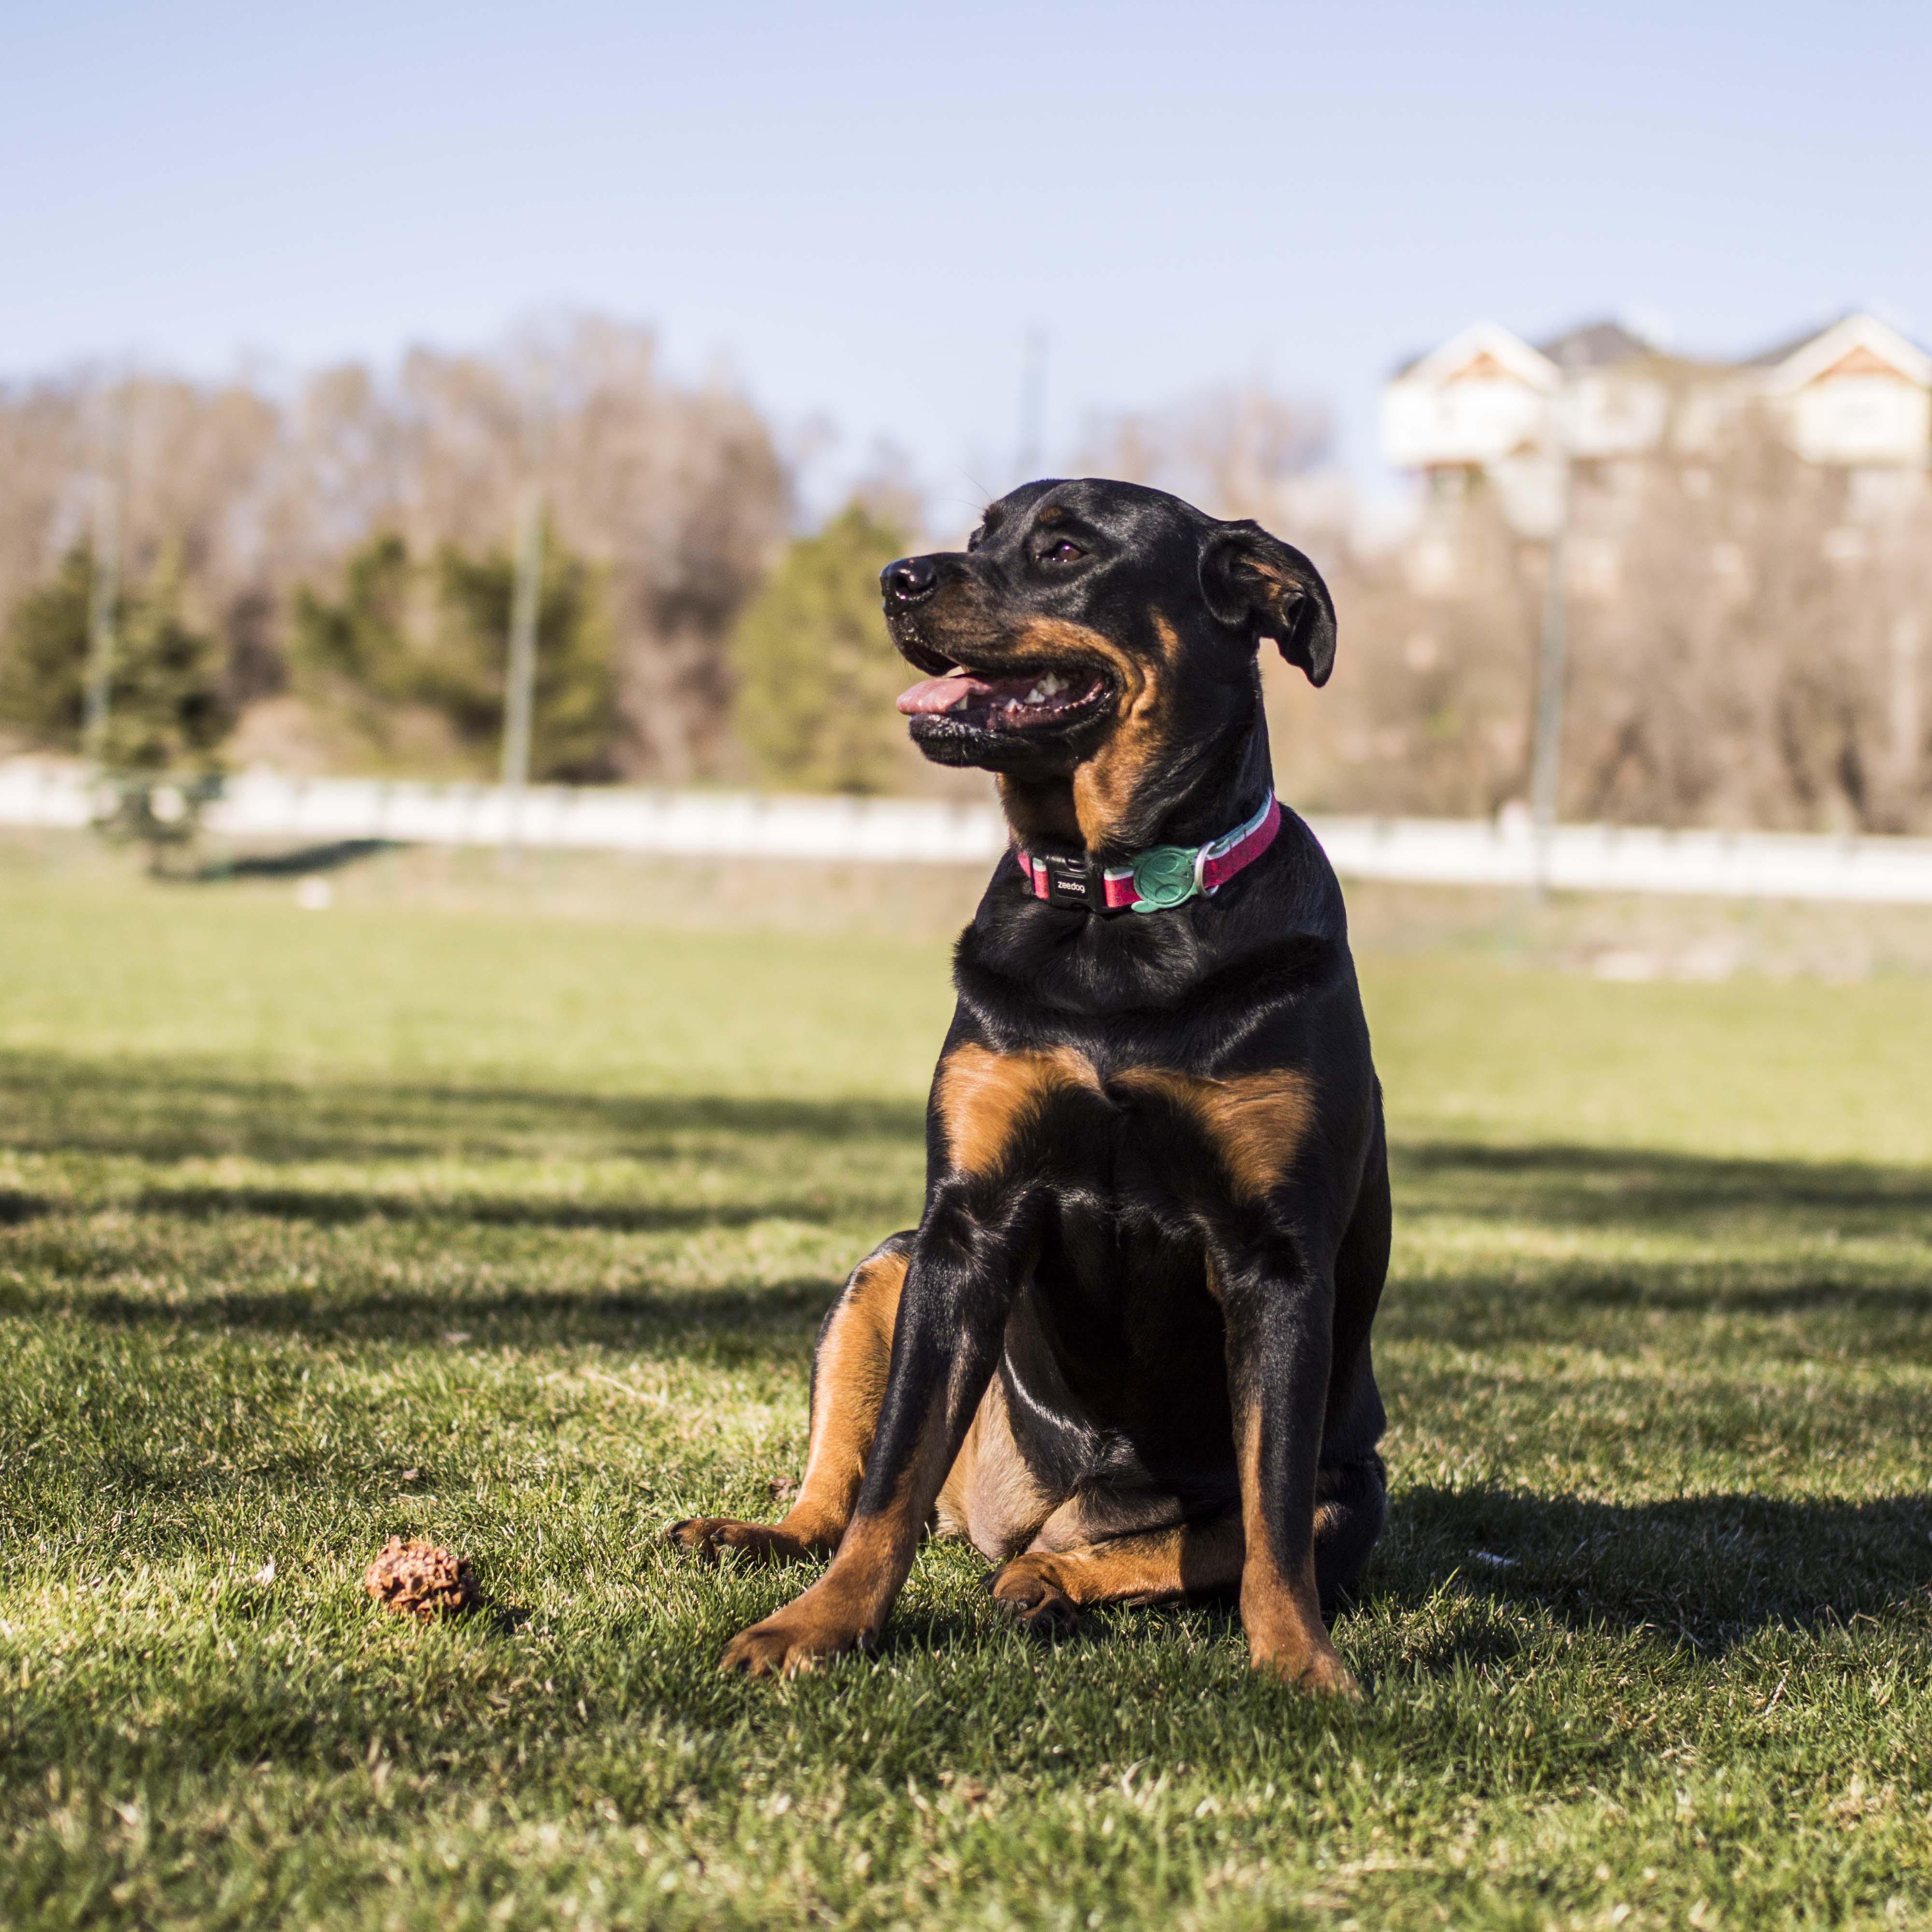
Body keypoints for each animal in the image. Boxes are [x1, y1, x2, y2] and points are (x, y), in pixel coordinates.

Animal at [668, 475, 1391, 1700]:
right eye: (977, 535)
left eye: (1063, 549)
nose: (899, 576)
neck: (1112, 903)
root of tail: (1027, 1514)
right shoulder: (966, 1224)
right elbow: (890, 1477)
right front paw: (817, 1627)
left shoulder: (1276, 1259)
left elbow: (1272, 1515)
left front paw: (1299, 1664)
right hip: (885, 1271)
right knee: (848, 1486)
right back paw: (771, 1536)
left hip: (1359, 1487)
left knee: (1214, 1533)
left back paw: (1045, 1580)